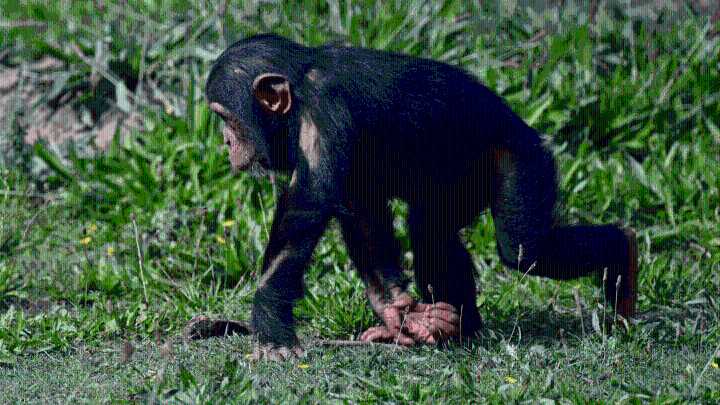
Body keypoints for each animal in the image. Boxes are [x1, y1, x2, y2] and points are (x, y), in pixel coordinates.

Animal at [199, 34, 639, 361]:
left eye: (225, 117)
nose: (225, 142)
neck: (298, 90)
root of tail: (530, 131)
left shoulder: (324, 113)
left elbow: (307, 208)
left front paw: (270, 325)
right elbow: (361, 212)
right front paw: (396, 309)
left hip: (522, 160)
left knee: (524, 248)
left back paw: (623, 255)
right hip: (462, 181)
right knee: (433, 231)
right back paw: (451, 328)